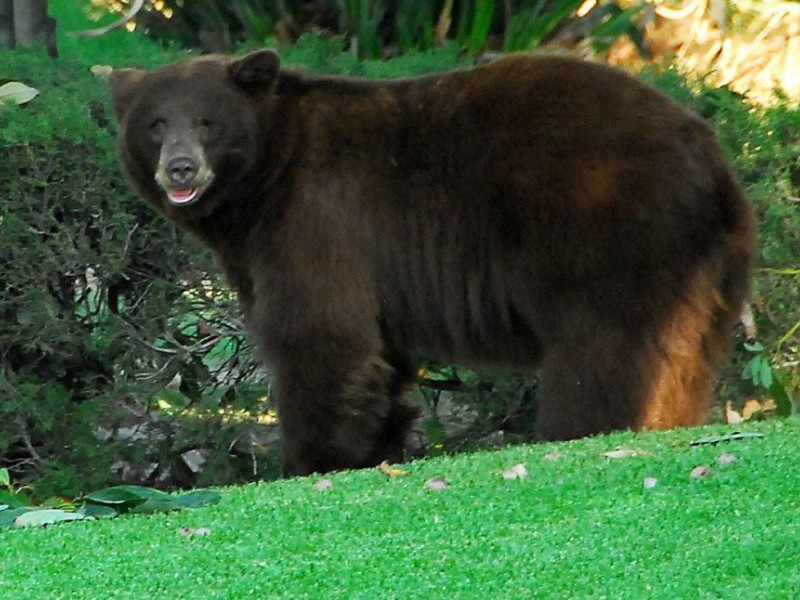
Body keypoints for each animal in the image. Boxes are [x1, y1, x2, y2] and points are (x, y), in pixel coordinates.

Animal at [109, 49, 756, 476]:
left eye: (207, 122)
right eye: (156, 124)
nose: (181, 168)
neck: (269, 178)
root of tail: (711, 157)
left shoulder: (318, 218)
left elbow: (317, 333)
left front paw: (310, 460)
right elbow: (377, 354)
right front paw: (377, 446)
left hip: (606, 235)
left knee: (604, 352)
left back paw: (586, 430)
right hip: (704, 269)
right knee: (683, 358)